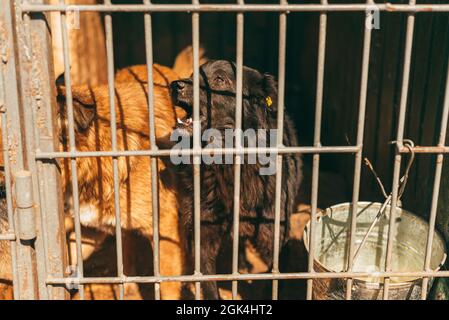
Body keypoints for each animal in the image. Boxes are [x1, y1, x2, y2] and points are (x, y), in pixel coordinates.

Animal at [169, 60, 300, 300]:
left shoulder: (274, 234)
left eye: (220, 79)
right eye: (193, 74)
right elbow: (208, 281)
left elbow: (273, 277)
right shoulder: (203, 228)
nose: (175, 85)